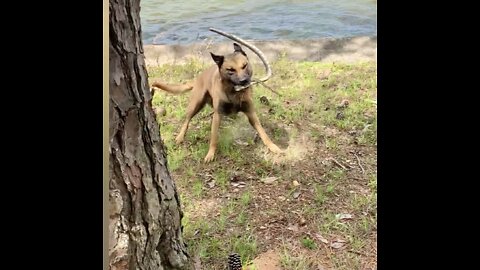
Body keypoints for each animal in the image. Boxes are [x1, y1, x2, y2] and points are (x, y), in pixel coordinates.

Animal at [152, 42, 284, 162]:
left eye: (245, 65)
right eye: (230, 70)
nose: (244, 81)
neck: (234, 92)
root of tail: (198, 77)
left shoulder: (251, 113)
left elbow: (263, 133)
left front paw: (273, 147)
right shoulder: (217, 115)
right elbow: (214, 138)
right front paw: (210, 154)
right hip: (196, 104)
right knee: (187, 120)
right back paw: (180, 136)